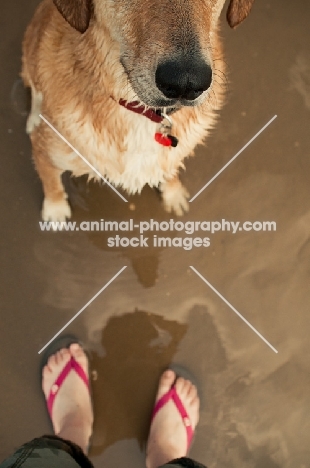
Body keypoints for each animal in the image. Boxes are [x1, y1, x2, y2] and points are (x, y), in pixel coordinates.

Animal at [21, 0, 254, 221]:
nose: (186, 83)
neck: (140, 113)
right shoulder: (45, 154)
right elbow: (52, 185)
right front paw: (55, 209)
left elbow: (170, 169)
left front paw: (173, 193)